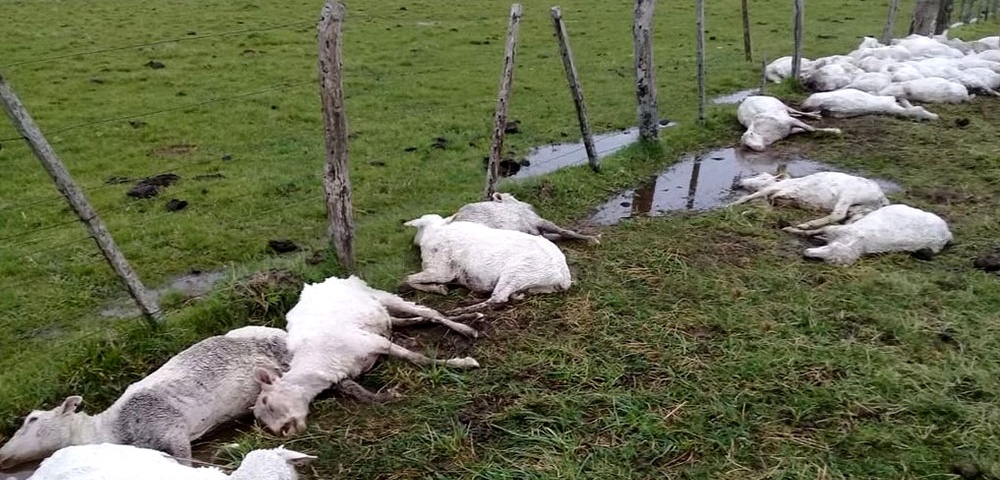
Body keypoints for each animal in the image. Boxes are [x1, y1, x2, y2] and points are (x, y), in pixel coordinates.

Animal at [250, 275, 481, 438]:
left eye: (268, 402)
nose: (284, 431)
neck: (319, 359)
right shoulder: (344, 373)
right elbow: (361, 394)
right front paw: (389, 395)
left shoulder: (370, 342)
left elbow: (417, 358)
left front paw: (463, 363)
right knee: (404, 320)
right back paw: (469, 315)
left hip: (380, 294)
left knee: (429, 312)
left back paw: (466, 327)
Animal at [403, 214, 571, 313]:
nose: (413, 242)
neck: (435, 229)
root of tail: (563, 277)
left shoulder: (441, 270)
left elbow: (408, 279)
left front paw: (439, 289)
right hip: (535, 286)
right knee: (512, 296)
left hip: (516, 273)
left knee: (498, 298)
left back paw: (460, 309)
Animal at [727, 171, 890, 230]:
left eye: (762, 177)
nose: (739, 181)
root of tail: (882, 198)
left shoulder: (774, 188)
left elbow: (749, 196)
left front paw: (731, 205)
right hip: (860, 209)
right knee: (847, 219)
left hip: (848, 195)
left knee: (838, 214)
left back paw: (807, 224)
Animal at [782, 204, 953, 266]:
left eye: (828, 258)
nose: (806, 253)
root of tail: (946, 233)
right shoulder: (834, 230)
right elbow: (816, 230)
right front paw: (794, 229)